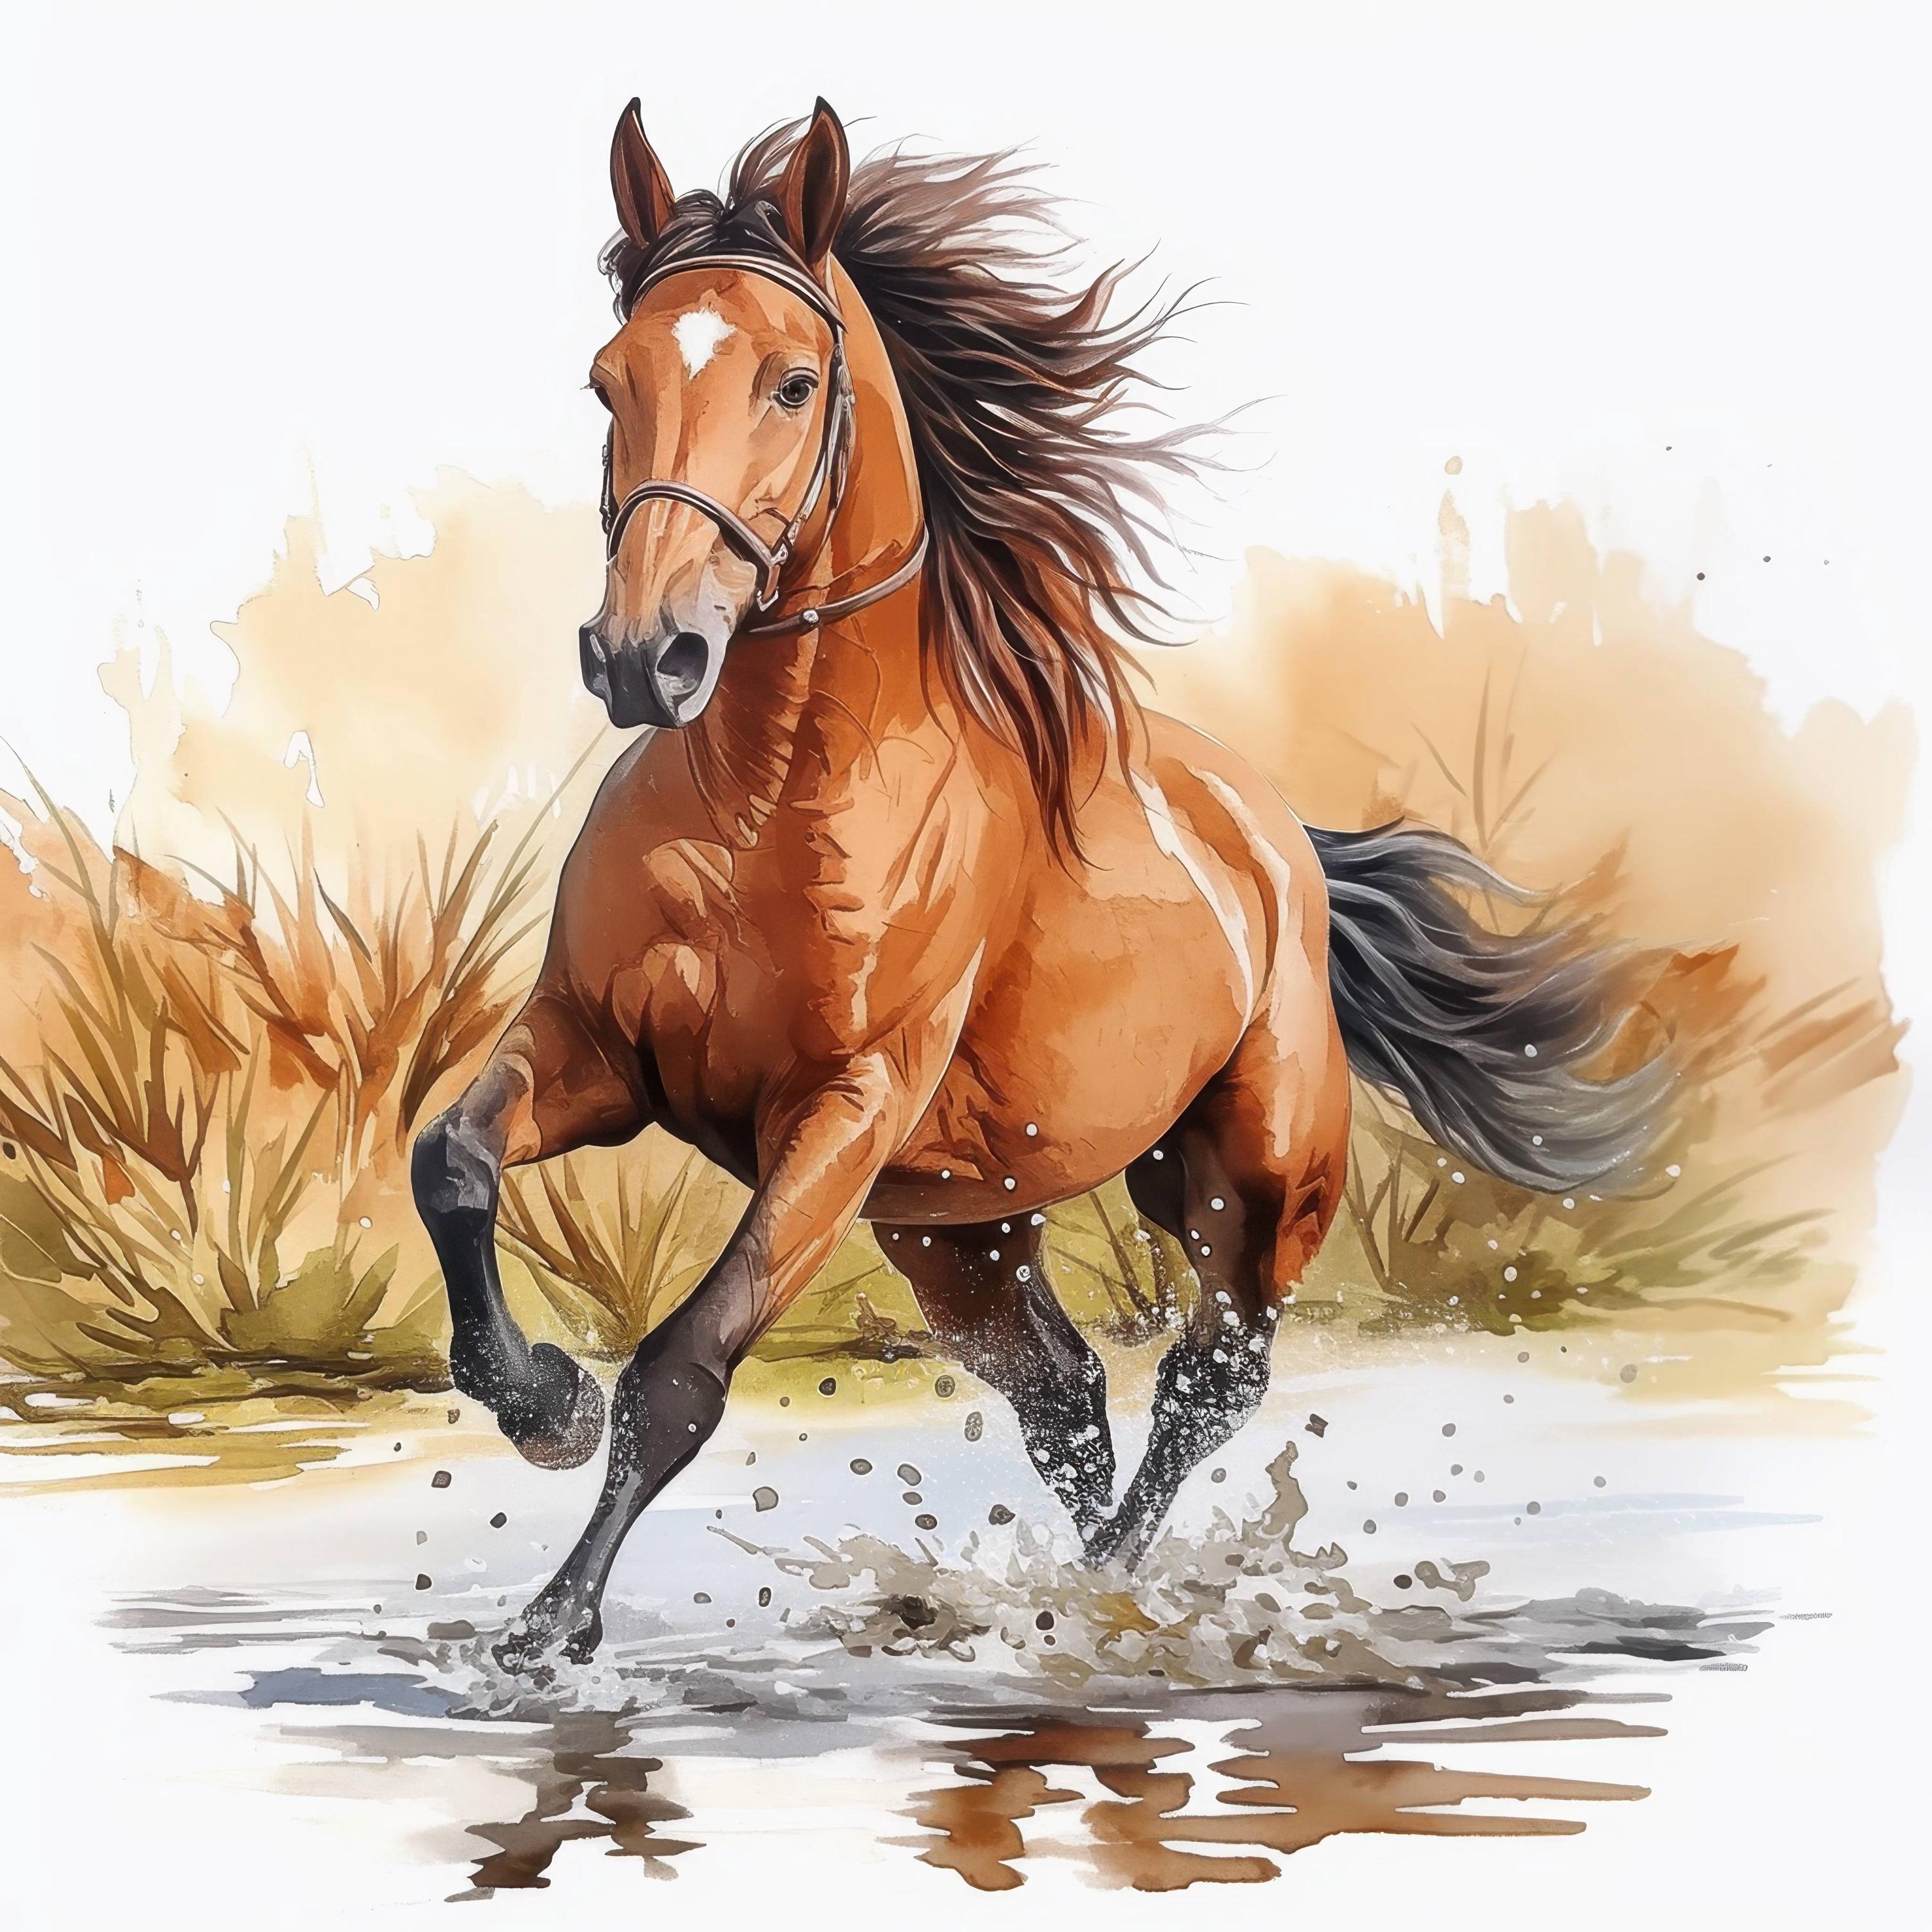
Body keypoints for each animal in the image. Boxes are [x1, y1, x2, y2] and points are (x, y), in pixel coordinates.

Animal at [411, 99, 1666, 1668]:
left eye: (793, 382)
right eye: (606, 384)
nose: (648, 656)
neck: (765, 804)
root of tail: (1276, 840)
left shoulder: (841, 1113)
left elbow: (686, 1365)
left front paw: (549, 1627)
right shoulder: (595, 1049)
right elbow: (450, 1164)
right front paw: (541, 1403)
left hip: (1251, 1186)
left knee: (1208, 1378)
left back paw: (1112, 1590)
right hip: (958, 1231)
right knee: (1067, 1395)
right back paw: (1069, 1585)